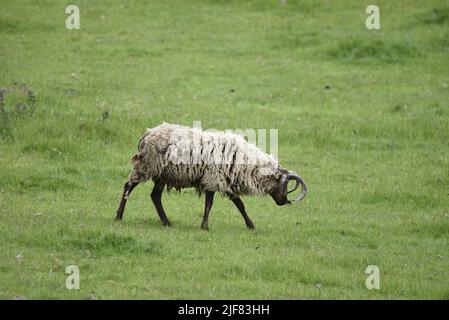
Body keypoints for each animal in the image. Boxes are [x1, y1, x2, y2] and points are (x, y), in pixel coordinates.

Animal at [114, 122, 306, 230]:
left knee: (155, 196)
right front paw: (205, 227)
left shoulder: (225, 181)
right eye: (284, 184)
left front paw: (251, 226)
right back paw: (118, 216)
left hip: (162, 174)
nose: (284, 202)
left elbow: (240, 205)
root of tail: (147, 134)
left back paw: (166, 222)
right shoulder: (213, 179)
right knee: (128, 186)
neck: (248, 166)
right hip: (147, 166)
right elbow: (209, 205)